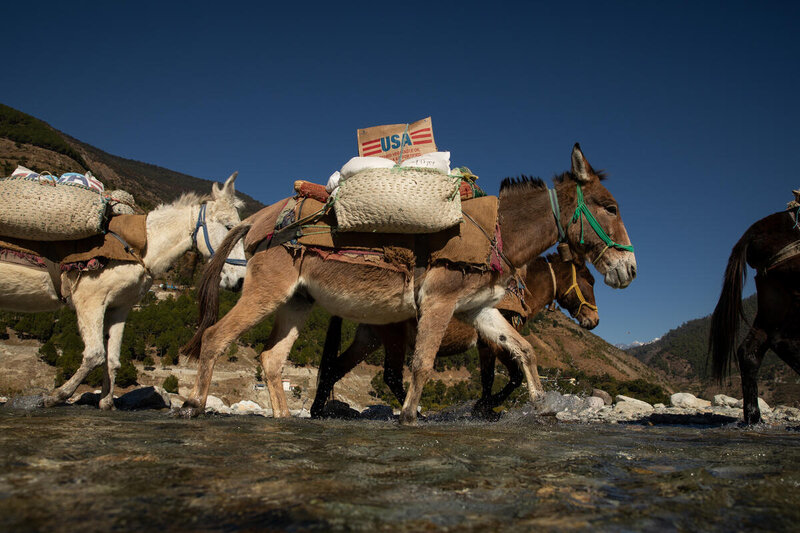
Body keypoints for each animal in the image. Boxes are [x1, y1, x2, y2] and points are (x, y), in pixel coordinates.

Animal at [310, 251, 596, 418]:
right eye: (589, 280)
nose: (594, 320)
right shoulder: (491, 344)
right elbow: (509, 377)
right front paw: (485, 407)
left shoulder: (488, 343)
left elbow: (493, 377)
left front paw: (485, 408)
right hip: (393, 337)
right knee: (391, 375)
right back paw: (416, 413)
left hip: (369, 338)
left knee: (336, 368)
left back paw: (317, 410)